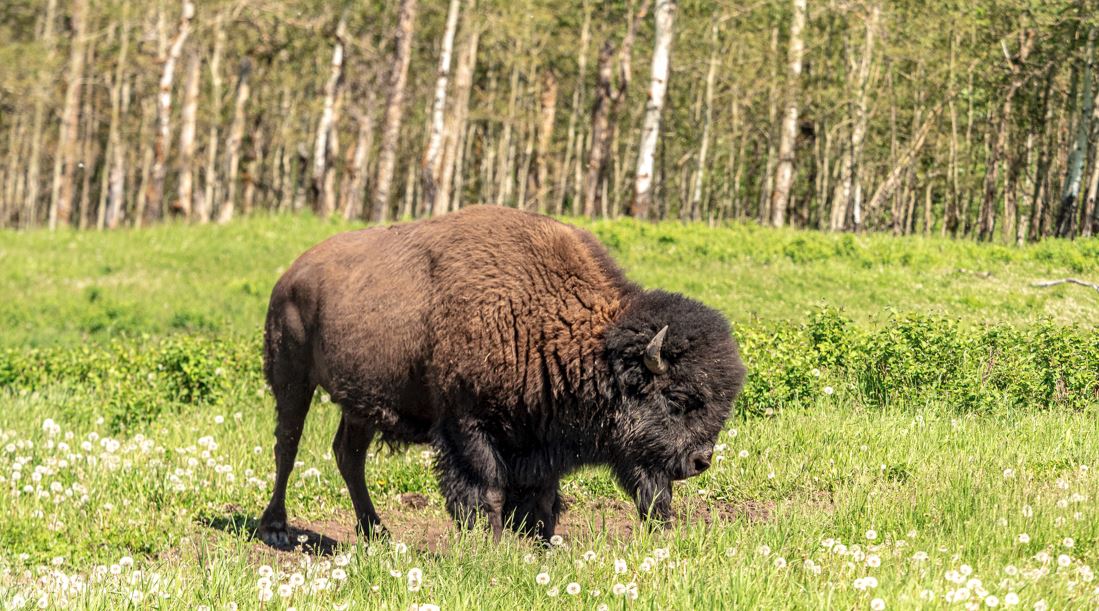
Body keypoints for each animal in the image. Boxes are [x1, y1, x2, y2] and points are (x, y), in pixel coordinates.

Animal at [257, 205, 747, 545]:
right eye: (678, 400)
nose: (700, 461)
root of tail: (291, 274)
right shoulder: (467, 424)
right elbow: (487, 488)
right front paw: (492, 546)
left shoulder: (542, 435)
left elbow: (542, 496)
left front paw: (545, 545)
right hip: (292, 379)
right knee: (288, 446)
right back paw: (276, 528)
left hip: (360, 402)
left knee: (349, 455)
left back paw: (376, 532)